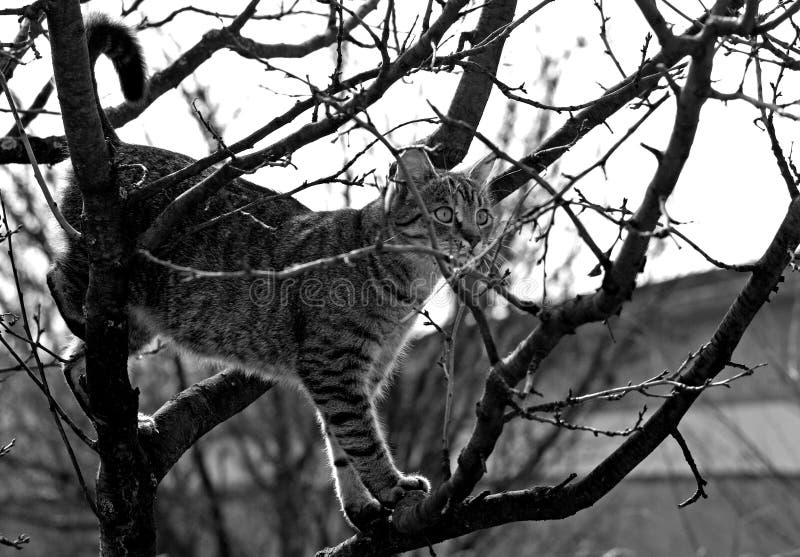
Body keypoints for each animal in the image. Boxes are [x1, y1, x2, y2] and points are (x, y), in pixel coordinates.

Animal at [48, 14, 494, 528]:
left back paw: (123, 418)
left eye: (484, 215)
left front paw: (359, 504)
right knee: (59, 278)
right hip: (103, 272)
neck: (404, 286)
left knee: (74, 364)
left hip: (135, 327)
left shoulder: (361, 372)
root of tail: (118, 147)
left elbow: (341, 446)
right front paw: (391, 487)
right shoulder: (336, 368)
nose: (474, 237)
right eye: (444, 215)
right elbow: (361, 440)